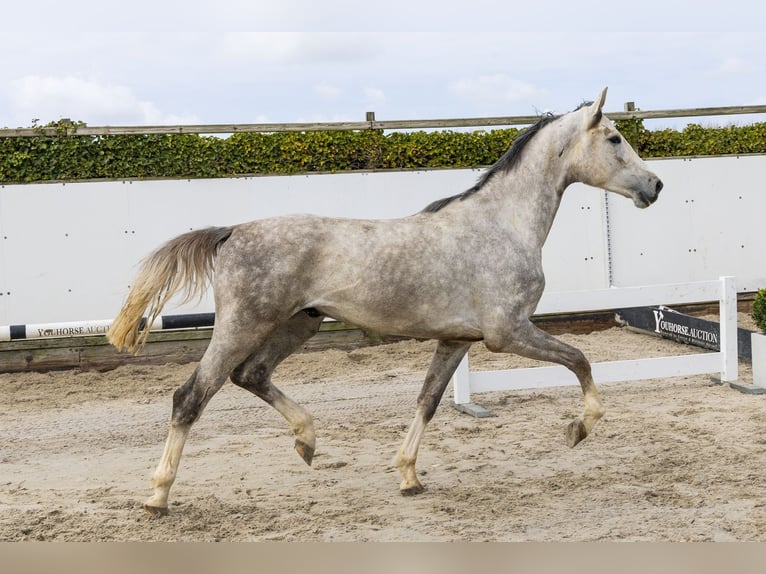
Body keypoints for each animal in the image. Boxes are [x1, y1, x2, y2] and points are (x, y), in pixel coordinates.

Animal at [107, 88, 663, 515]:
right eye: (614, 138)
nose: (655, 185)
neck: (502, 225)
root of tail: (231, 231)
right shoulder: (508, 334)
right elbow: (580, 359)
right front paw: (578, 429)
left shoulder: (458, 339)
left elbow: (428, 401)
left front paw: (408, 476)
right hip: (242, 325)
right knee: (191, 397)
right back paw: (158, 497)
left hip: (298, 324)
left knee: (252, 375)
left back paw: (307, 441)